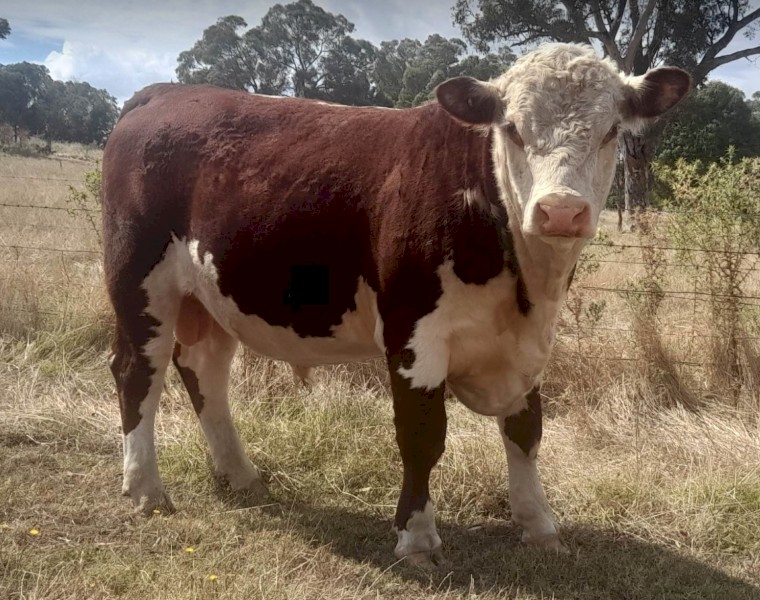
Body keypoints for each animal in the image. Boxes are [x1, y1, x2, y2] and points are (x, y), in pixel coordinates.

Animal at [102, 43, 689, 567]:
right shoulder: (413, 333)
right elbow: (423, 435)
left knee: (204, 371)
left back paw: (241, 476)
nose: (561, 211)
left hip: (210, 296)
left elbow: (526, 432)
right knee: (137, 371)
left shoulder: (529, 348)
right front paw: (417, 538)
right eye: (513, 130)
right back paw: (146, 487)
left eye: (610, 131)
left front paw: (539, 525)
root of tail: (164, 93)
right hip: (139, 281)